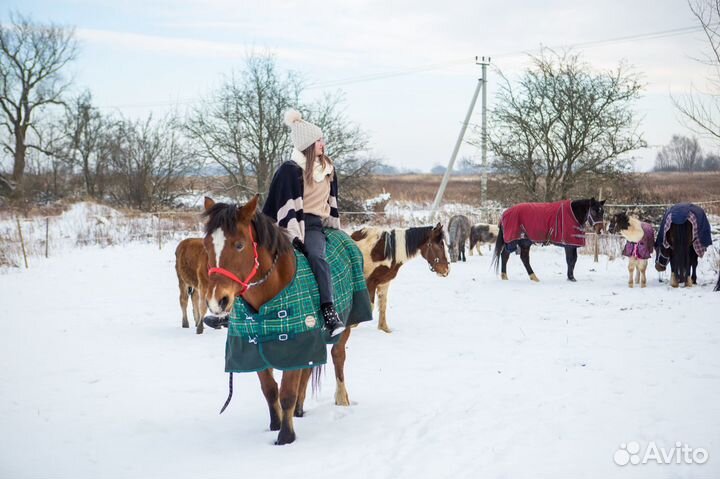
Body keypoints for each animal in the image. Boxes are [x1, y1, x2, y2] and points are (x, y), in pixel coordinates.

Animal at [201, 195, 372, 445]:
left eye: (239, 245)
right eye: (206, 246)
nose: (217, 300)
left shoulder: (297, 342)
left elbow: (287, 393)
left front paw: (286, 437)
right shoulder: (256, 346)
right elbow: (270, 389)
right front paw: (275, 425)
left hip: (347, 323)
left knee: (338, 356)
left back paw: (341, 397)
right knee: (307, 371)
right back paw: (300, 410)